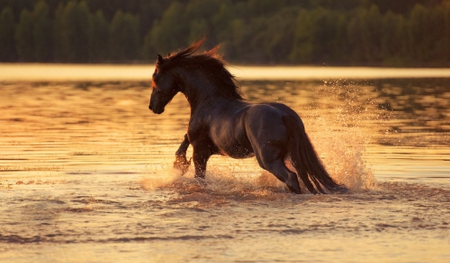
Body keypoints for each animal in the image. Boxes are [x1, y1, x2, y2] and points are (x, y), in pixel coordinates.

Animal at [149, 39, 346, 196]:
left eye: (155, 79)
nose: (153, 107)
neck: (208, 99)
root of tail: (285, 115)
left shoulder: (200, 150)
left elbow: (199, 175)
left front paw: (181, 165)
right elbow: (183, 141)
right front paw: (179, 164)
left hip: (268, 159)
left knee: (291, 177)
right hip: (289, 155)